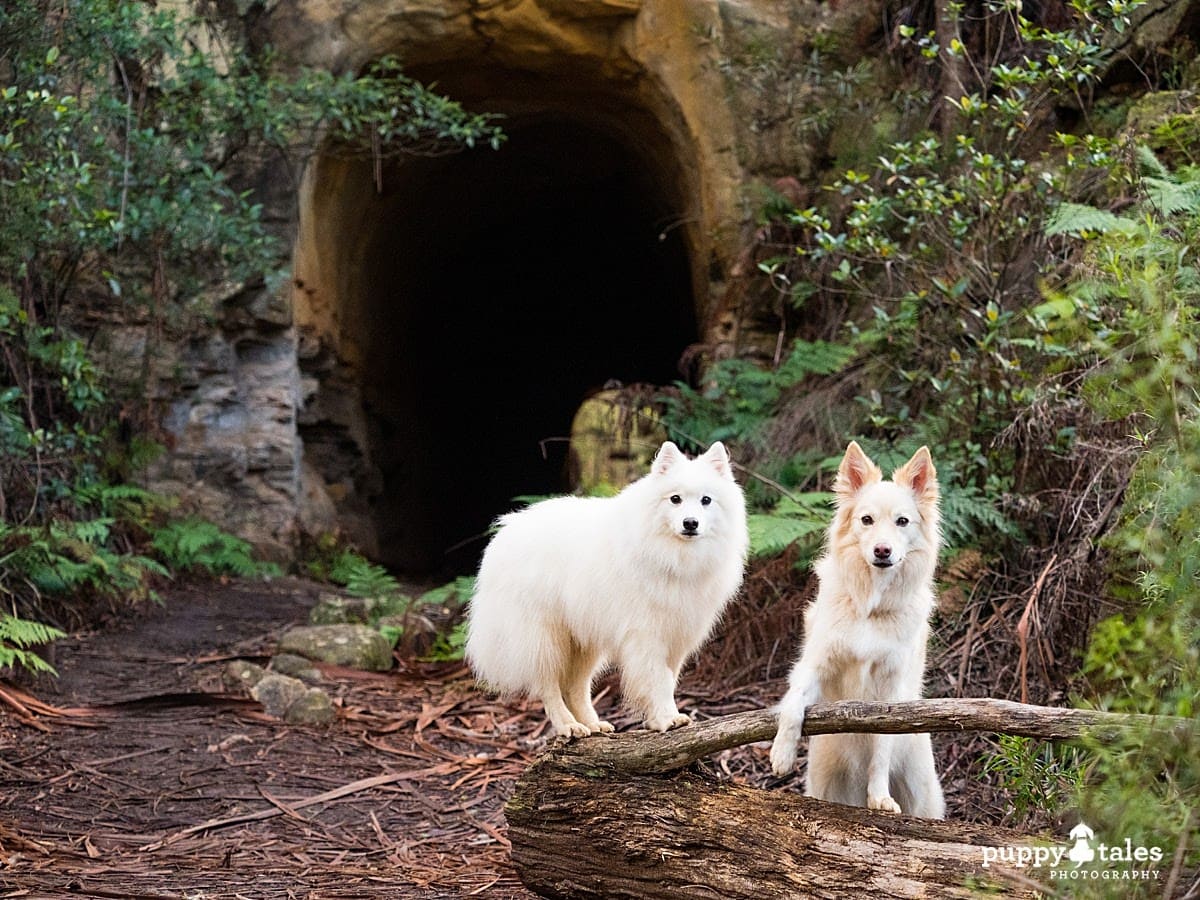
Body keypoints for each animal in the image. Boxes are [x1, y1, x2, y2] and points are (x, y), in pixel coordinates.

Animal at [768, 441, 945, 820]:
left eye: (902, 521)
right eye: (867, 520)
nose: (882, 550)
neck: (870, 608)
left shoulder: (890, 691)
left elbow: (880, 748)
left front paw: (879, 795)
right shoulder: (815, 664)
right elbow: (793, 704)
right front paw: (782, 753)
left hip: (920, 790)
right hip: (824, 779)